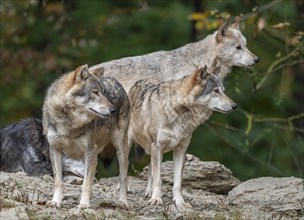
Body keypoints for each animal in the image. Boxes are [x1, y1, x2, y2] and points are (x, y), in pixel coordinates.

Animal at [42, 64, 130, 209]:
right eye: (95, 92)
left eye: (104, 93)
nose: (113, 110)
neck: (70, 122)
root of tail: (115, 80)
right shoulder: (55, 150)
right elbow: (58, 181)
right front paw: (55, 202)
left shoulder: (90, 152)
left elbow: (86, 184)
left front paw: (83, 204)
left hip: (120, 149)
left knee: (123, 178)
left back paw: (122, 202)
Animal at [128, 65, 238, 211]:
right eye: (216, 91)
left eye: (223, 91)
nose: (235, 106)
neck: (179, 112)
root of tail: (139, 81)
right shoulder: (157, 146)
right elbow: (159, 179)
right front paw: (157, 200)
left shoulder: (180, 150)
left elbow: (177, 182)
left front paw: (179, 202)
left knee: (151, 167)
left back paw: (149, 192)